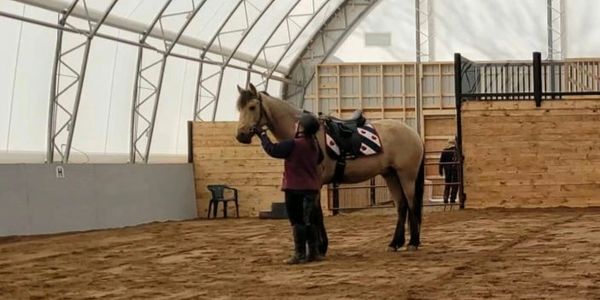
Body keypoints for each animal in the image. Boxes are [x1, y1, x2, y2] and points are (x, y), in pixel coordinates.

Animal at [234, 83, 426, 252]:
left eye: (252, 107)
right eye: (239, 108)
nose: (241, 135)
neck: (307, 133)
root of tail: (413, 133)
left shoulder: (316, 183)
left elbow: (315, 213)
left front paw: (321, 246)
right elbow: (315, 213)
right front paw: (320, 245)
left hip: (406, 176)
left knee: (411, 204)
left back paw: (413, 243)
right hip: (391, 175)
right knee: (401, 206)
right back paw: (395, 243)